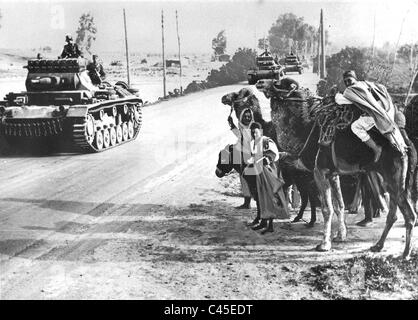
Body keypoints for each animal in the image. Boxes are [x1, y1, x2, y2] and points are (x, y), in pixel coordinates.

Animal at [256, 79, 416, 258]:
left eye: (278, 83)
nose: (260, 82)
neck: (306, 128)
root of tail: (406, 145)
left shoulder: (319, 171)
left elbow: (327, 208)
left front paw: (324, 244)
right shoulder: (333, 173)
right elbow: (339, 205)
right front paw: (340, 236)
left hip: (394, 177)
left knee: (409, 215)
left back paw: (405, 254)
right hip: (392, 179)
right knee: (395, 214)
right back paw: (378, 246)